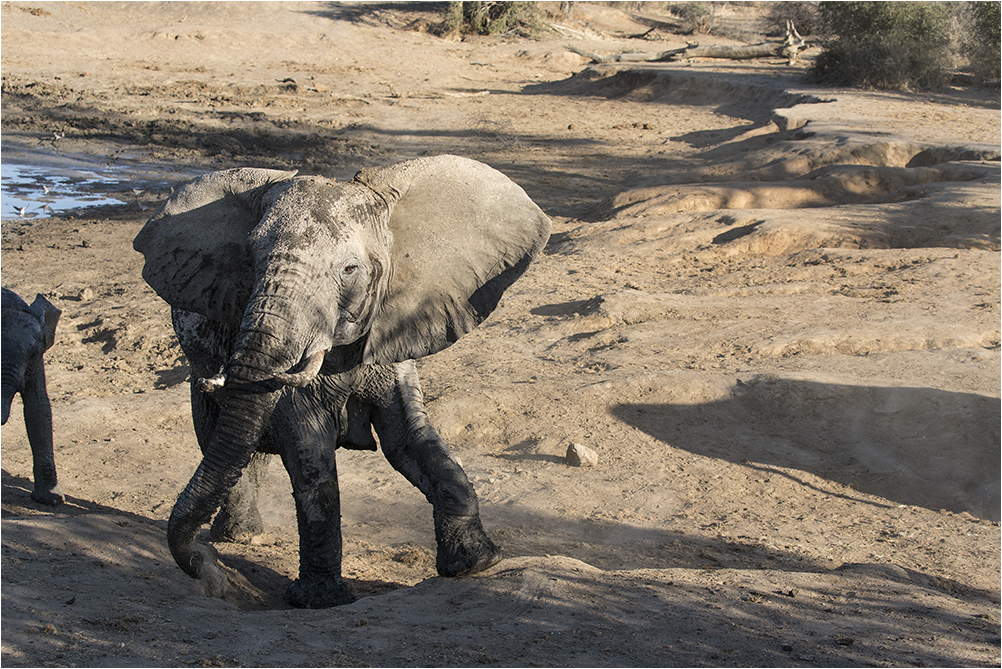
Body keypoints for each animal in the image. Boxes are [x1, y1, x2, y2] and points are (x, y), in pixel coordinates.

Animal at [133, 153, 553, 604]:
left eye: (350, 269)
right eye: (250, 261)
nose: (199, 565)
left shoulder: (391, 334)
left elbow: (410, 439)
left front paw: (477, 563)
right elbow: (310, 454)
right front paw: (319, 600)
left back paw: (242, 538)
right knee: (221, 436)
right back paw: (240, 538)